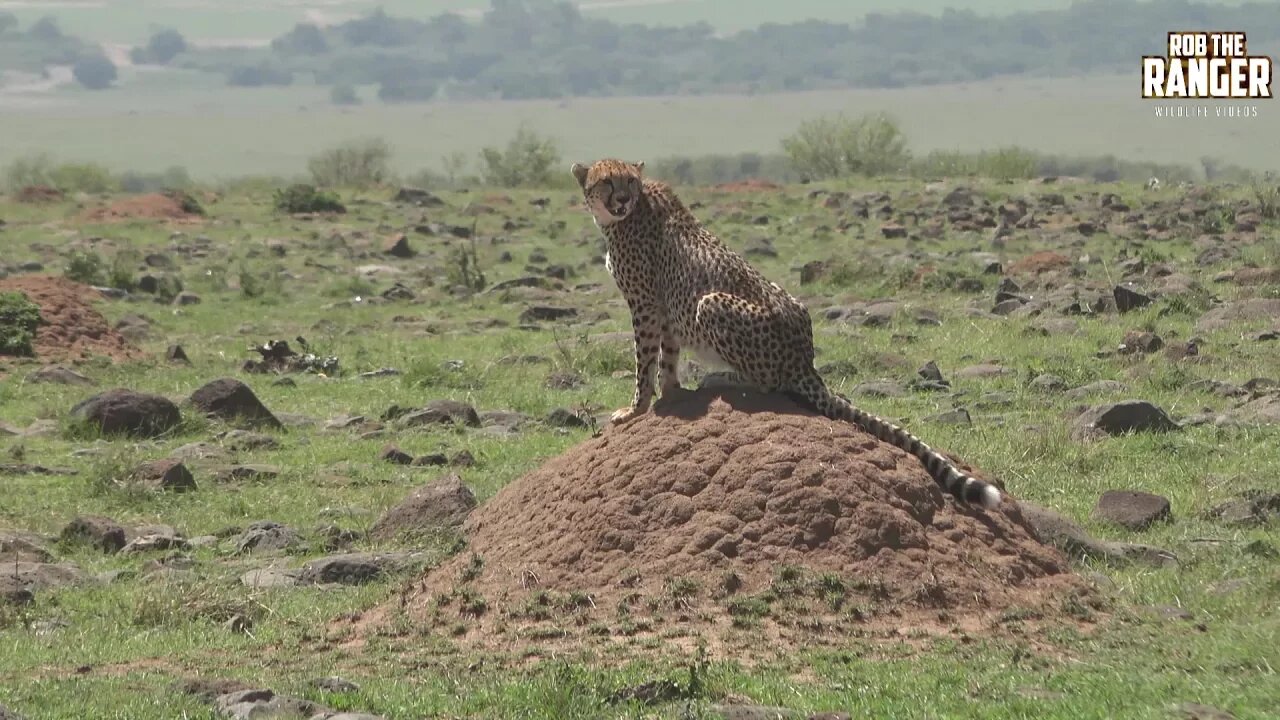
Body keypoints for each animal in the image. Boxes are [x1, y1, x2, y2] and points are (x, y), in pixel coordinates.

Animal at [576, 158, 1003, 504]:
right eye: (607, 182)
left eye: (630, 182)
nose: (621, 200)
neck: (625, 217)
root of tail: (805, 359)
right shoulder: (664, 309)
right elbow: (667, 356)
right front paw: (669, 392)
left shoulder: (646, 306)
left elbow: (645, 361)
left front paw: (635, 409)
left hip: (710, 303)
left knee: (768, 383)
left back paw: (720, 377)